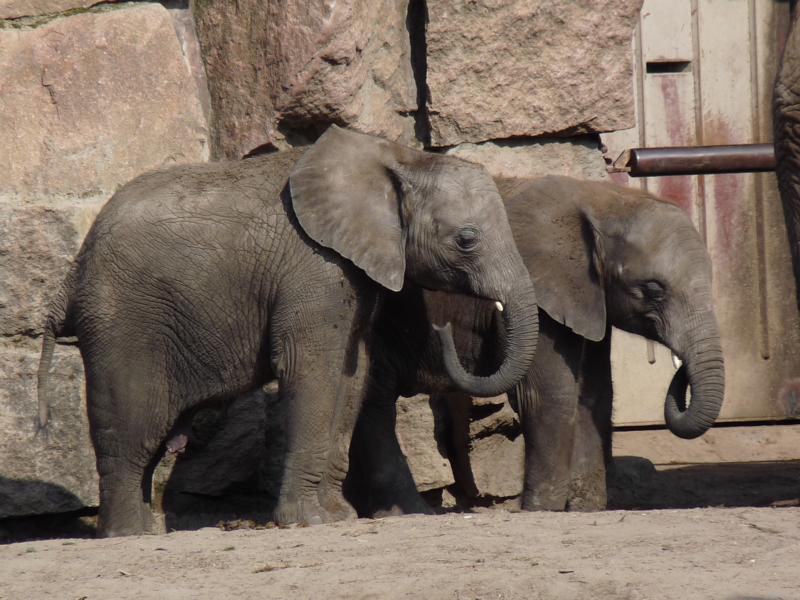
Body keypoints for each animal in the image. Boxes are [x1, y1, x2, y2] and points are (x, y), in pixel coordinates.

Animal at [36, 125, 539, 537]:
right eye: (467, 240)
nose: (445, 325)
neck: (397, 156)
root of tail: (72, 274)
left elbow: (351, 376)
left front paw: (338, 517)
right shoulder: (313, 267)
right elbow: (312, 369)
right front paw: (308, 521)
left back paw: (146, 530)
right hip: (122, 322)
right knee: (133, 431)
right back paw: (126, 535)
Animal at [346, 175, 724, 515]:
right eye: (653, 290)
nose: (679, 368)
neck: (603, 199)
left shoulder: (587, 299)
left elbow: (595, 394)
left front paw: (585, 509)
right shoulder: (540, 289)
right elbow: (551, 393)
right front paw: (541, 509)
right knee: (373, 402)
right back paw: (405, 513)